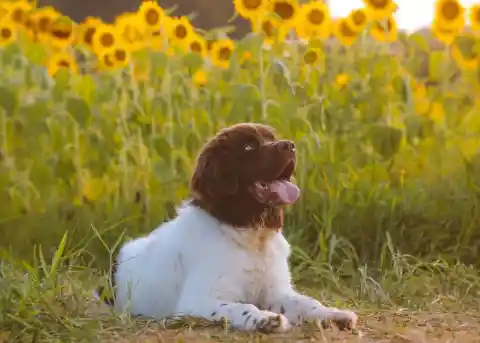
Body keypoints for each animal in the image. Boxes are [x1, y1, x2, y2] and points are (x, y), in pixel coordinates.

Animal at [100, 123, 356, 334]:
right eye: (248, 147)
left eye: (272, 138)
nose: (290, 146)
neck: (250, 233)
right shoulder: (197, 301)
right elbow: (243, 307)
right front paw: (266, 320)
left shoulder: (276, 291)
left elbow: (307, 302)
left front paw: (333, 315)